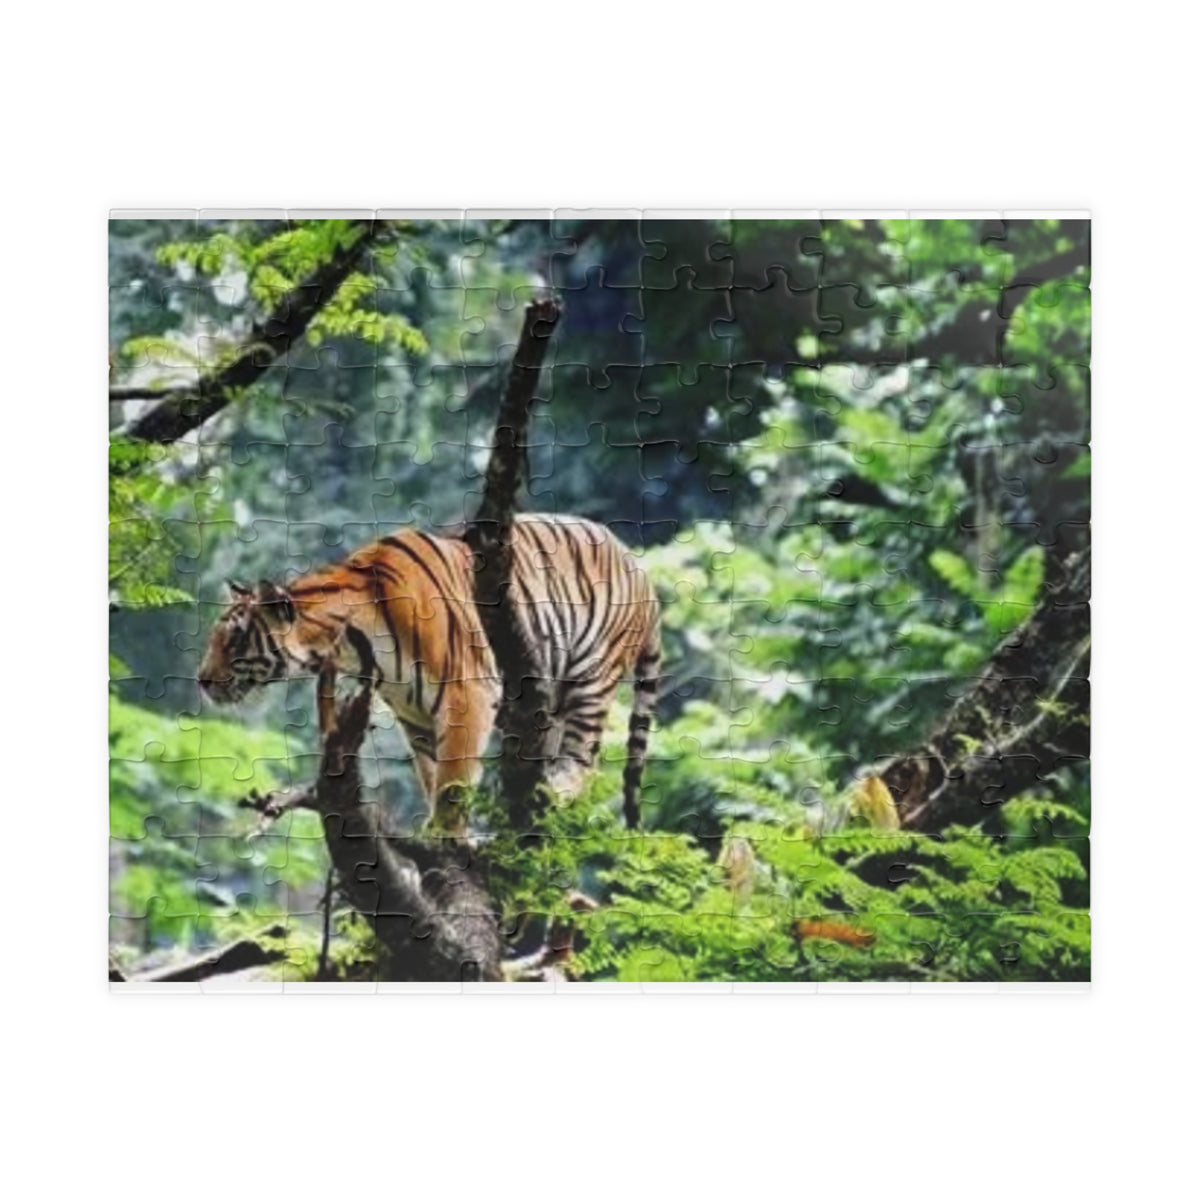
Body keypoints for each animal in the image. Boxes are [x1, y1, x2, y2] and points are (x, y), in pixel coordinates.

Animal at [198, 514, 661, 834]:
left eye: (234, 640)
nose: (201, 681)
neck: (348, 643)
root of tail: (638, 566)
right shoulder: (414, 713)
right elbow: (432, 774)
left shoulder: (465, 694)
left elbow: (453, 779)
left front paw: (444, 835)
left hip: (591, 678)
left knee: (583, 761)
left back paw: (556, 789)